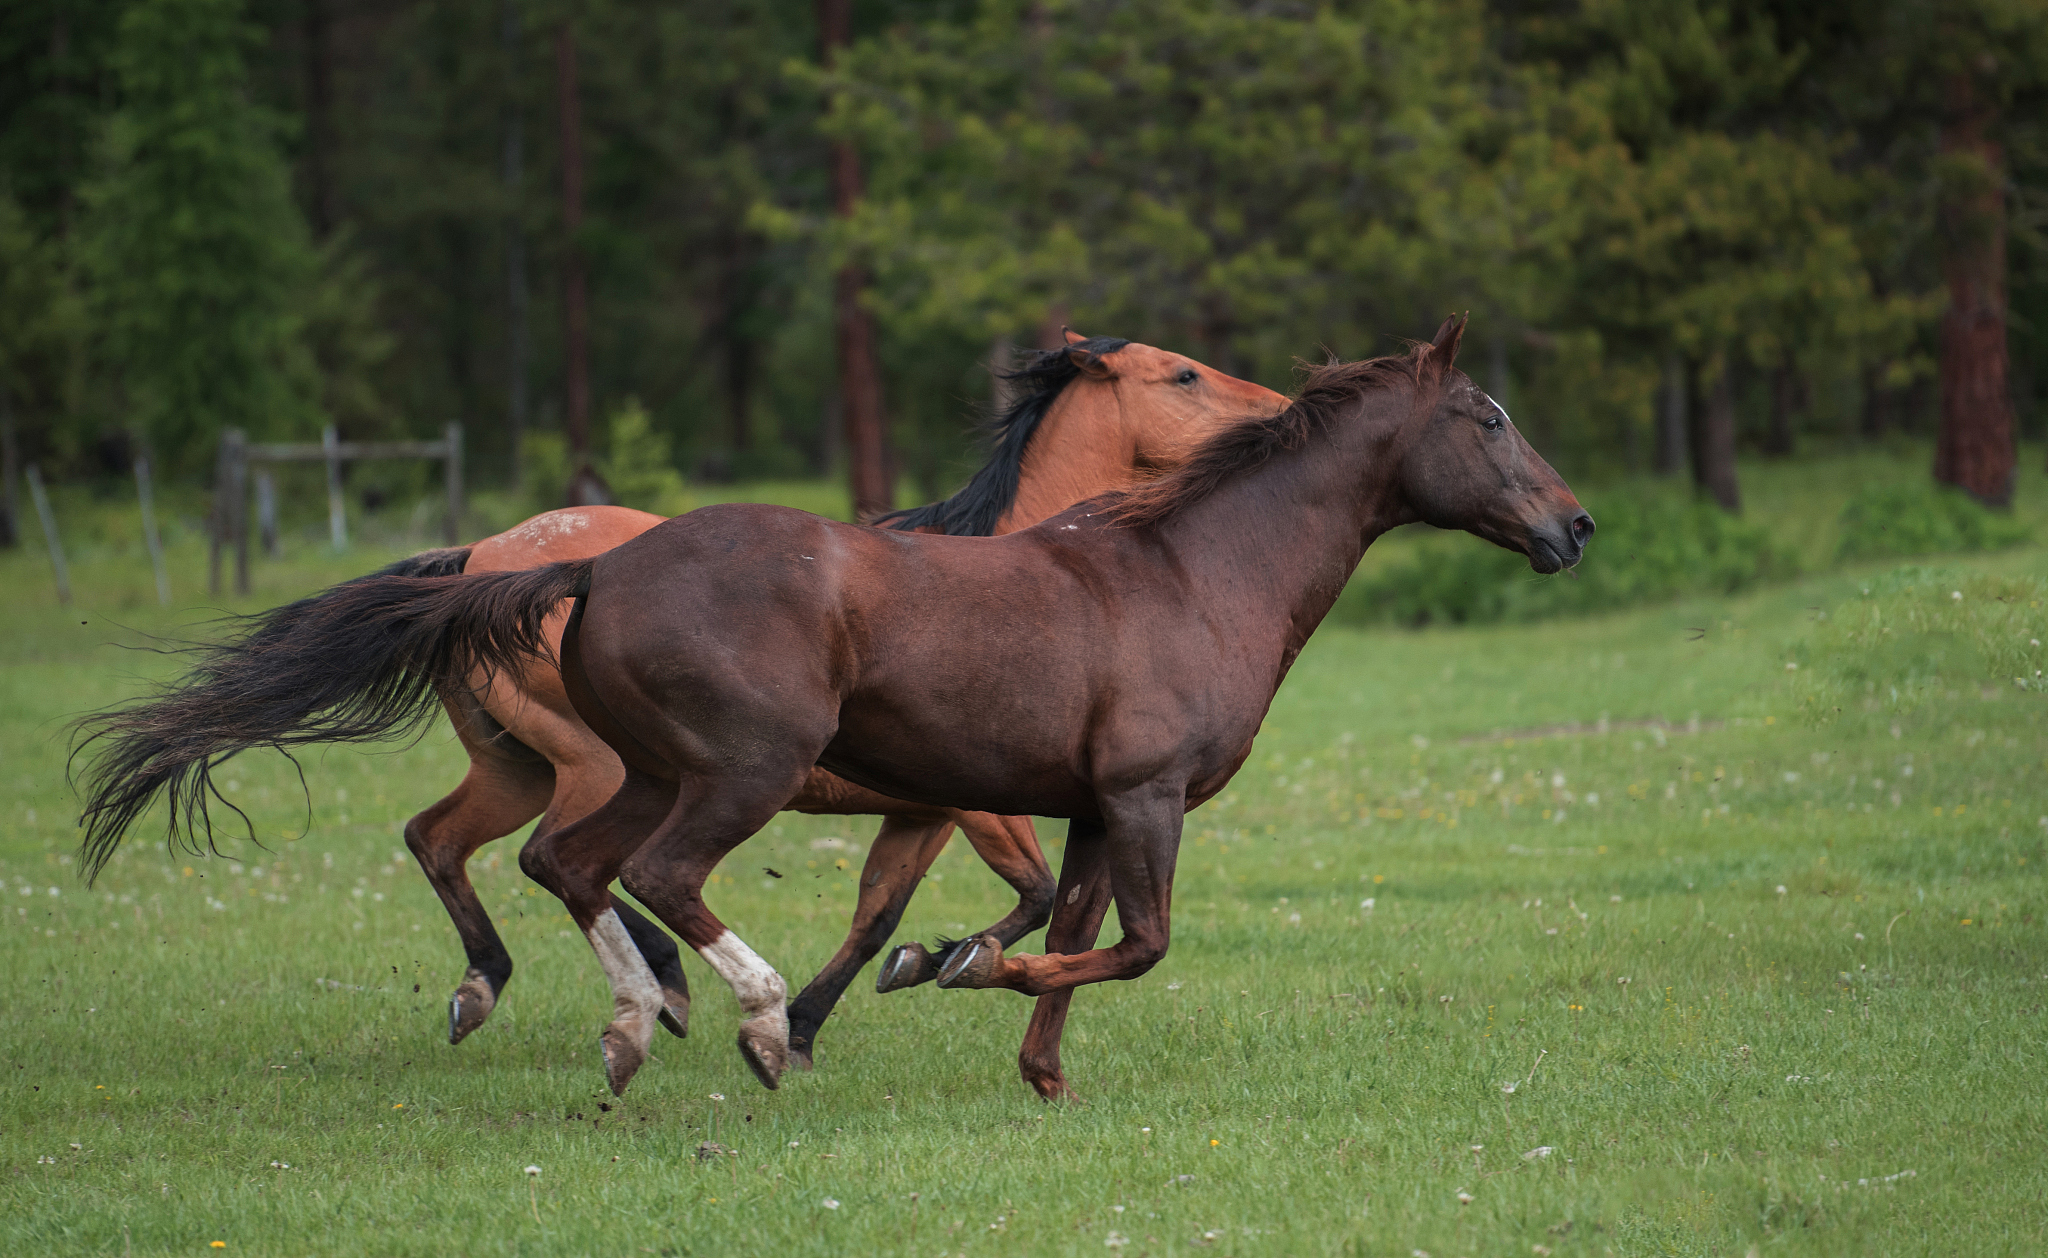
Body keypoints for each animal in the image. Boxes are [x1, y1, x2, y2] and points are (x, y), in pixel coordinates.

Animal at [110, 315, 1585, 1101]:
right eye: (1489, 415)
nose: (1572, 527)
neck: (1188, 571)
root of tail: (576, 564)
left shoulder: (1067, 805)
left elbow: (1057, 924)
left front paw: (1029, 1063)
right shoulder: (1134, 800)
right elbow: (1126, 940)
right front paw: (946, 972)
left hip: (617, 772)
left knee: (544, 862)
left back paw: (626, 1022)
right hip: (727, 774)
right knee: (643, 875)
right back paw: (740, 1018)